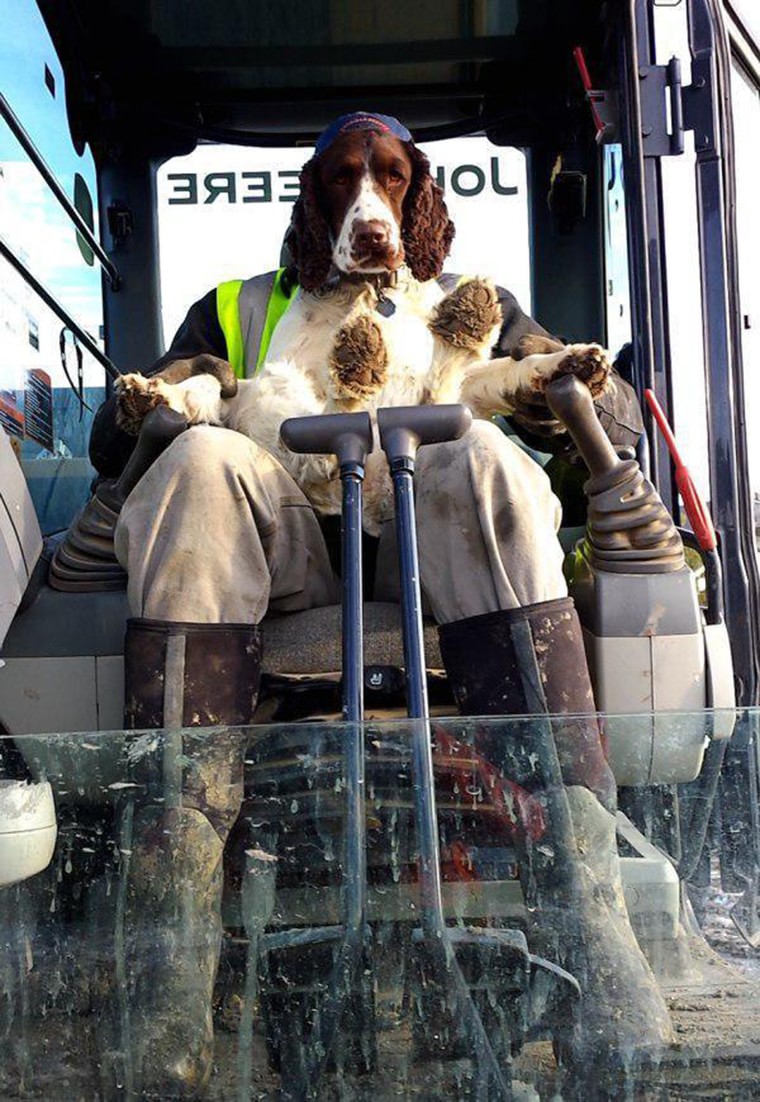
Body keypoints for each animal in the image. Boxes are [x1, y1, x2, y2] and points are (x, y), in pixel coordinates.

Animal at [116, 112, 608, 533]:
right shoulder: (280, 379)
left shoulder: (440, 391)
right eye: (339, 177)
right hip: (266, 398)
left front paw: (566, 359)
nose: (373, 236)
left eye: (397, 175)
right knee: (282, 415)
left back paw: (481, 322)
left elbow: (502, 369)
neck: (371, 293)